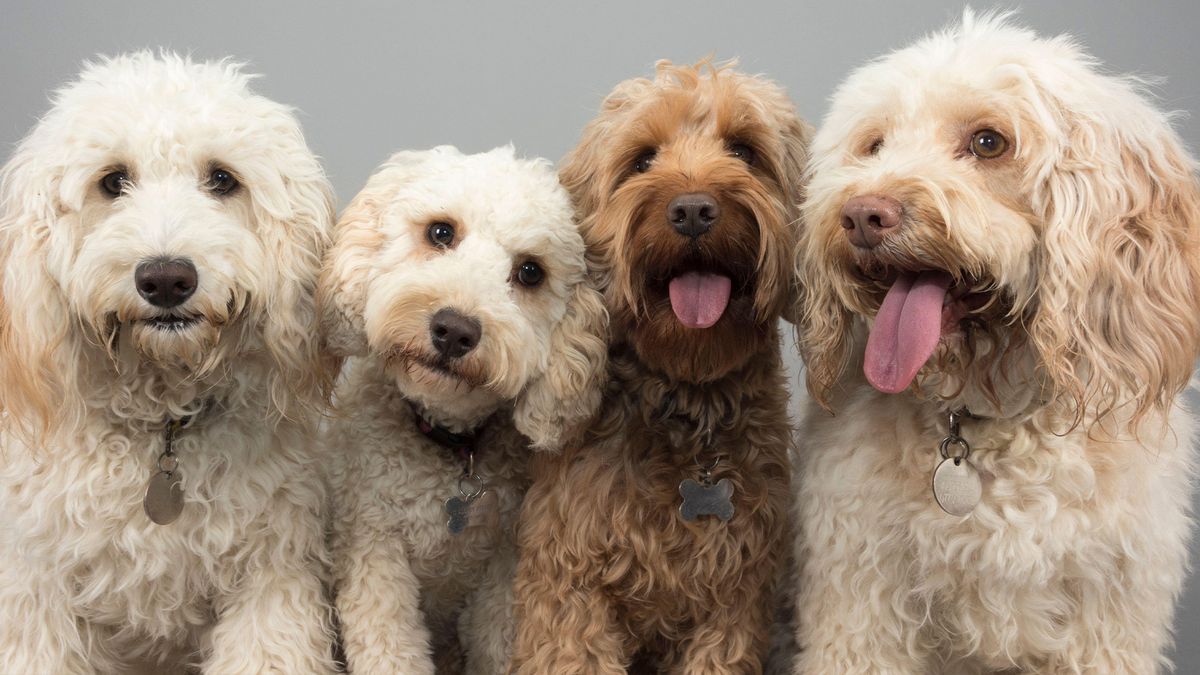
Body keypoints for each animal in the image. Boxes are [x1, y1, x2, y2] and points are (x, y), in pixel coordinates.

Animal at [0, 53, 340, 672]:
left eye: (222, 179)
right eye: (113, 181)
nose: (165, 279)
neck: (162, 429)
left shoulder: (271, 583)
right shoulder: (36, 598)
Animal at [316, 144, 604, 667]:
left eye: (530, 272)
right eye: (440, 232)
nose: (454, 330)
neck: (450, 446)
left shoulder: (504, 570)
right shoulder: (374, 552)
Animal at [511, 60, 811, 667]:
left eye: (744, 151)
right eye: (642, 159)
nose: (693, 210)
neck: (689, 401)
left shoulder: (733, 600)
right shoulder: (568, 587)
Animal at [787, 11, 1200, 672]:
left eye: (988, 142)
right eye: (874, 145)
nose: (861, 215)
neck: (984, 419)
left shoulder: (1109, 618)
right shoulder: (861, 603)